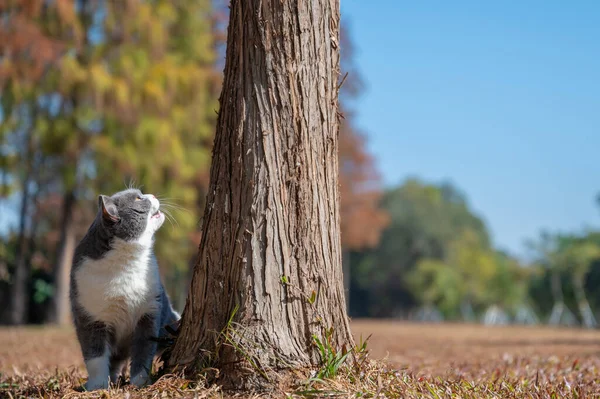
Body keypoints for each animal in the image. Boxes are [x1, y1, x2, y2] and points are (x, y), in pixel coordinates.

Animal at [69, 190, 179, 390]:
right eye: (137, 198)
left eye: (140, 194)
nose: (152, 194)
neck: (127, 262)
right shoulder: (89, 316)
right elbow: (95, 355)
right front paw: (97, 386)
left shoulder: (150, 310)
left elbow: (144, 349)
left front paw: (139, 382)